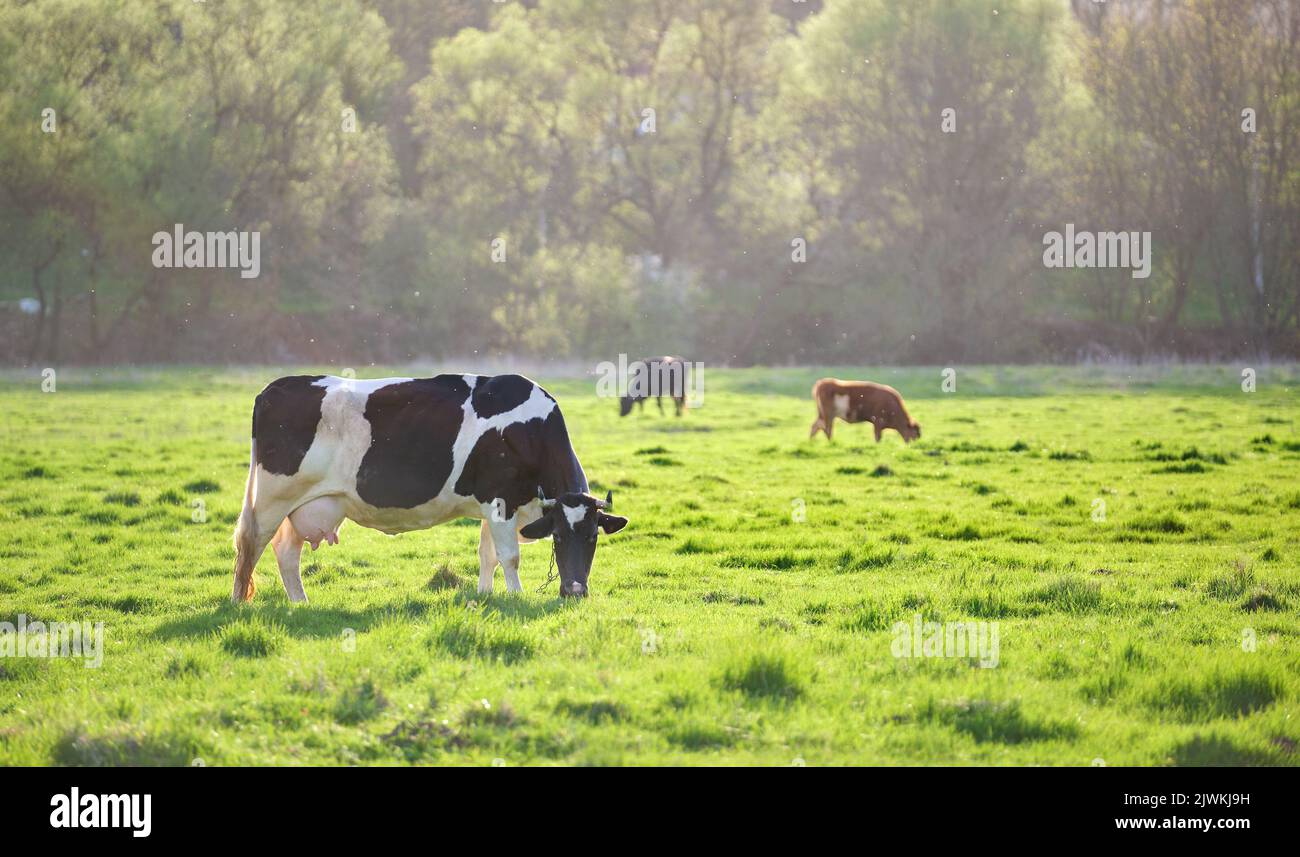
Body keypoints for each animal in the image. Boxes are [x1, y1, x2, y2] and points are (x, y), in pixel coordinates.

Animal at [231, 373, 628, 604]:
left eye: (593, 537)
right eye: (558, 537)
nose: (575, 592)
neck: (530, 430)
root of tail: (275, 386)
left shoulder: (492, 507)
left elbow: (487, 555)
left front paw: (486, 595)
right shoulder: (500, 500)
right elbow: (509, 556)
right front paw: (517, 597)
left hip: (309, 504)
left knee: (286, 551)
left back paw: (300, 602)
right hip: (272, 498)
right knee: (250, 544)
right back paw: (238, 601)